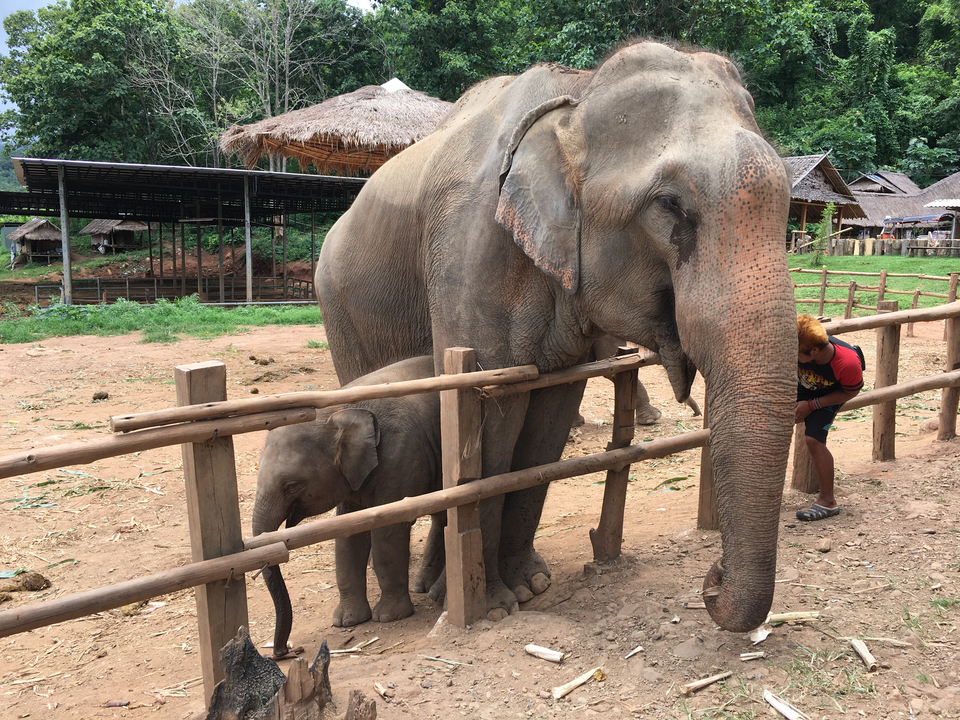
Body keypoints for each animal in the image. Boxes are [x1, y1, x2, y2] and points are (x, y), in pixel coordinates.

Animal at [251, 356, 445, 658]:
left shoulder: (401, 458)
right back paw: (423, 587)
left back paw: (436, 594)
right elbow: (348, 536)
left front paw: (388, 617)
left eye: (291, 486)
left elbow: (388, 531)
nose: (285, 652)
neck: (340, 409)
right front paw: (346, 622)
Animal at [316, 40, 797, 632]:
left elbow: (549, 416)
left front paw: (531, 585)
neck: (578, 95)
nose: (713, 578)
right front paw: (493, 605)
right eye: (670, 205)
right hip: (340, 306)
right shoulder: (468, 248)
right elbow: (491, 415)